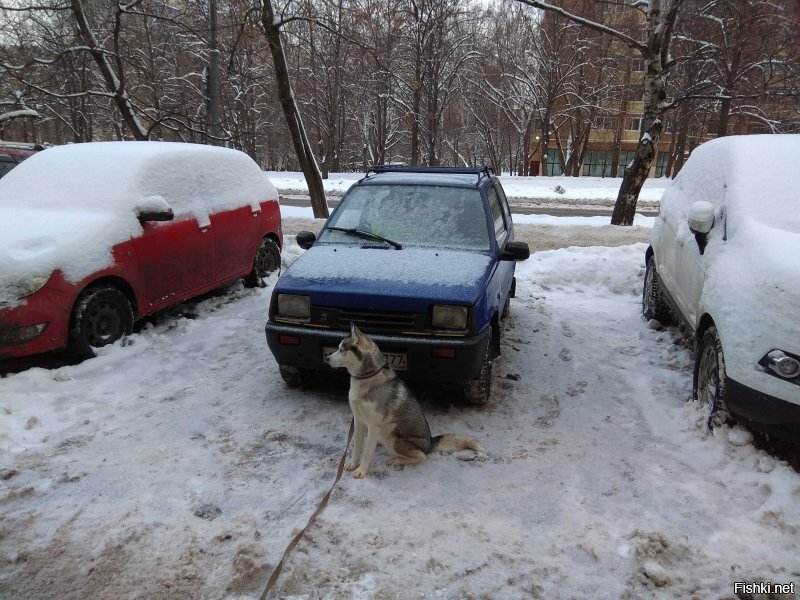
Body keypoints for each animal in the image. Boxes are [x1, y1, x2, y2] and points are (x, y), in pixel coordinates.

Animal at [324, 324, 482, 478]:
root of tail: (430, 442)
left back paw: (397, 460)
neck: (368, 378)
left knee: (422, 457)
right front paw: (353, 464)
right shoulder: (358, 420)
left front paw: (361, 470)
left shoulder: (373, 425)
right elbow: (357, 447)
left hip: (395, 440)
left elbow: (368, 451)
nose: (327, 358)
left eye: (341, 350)